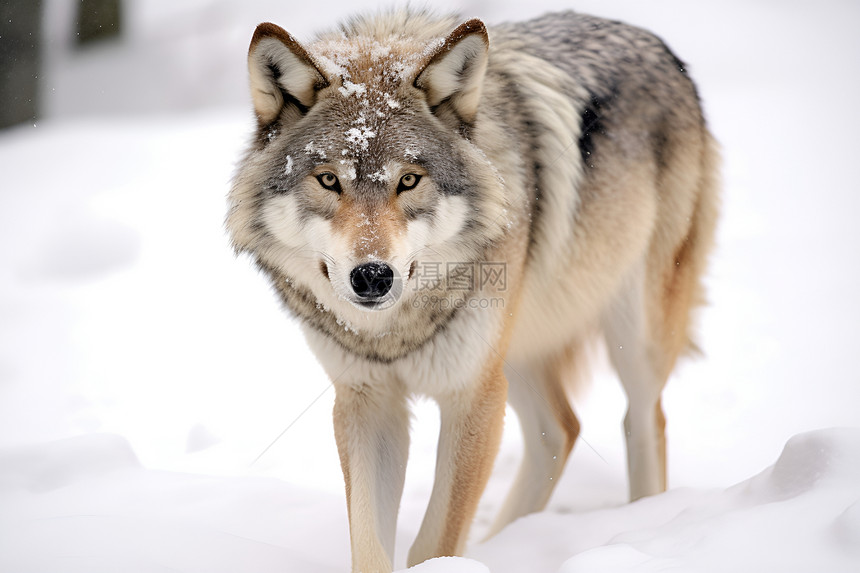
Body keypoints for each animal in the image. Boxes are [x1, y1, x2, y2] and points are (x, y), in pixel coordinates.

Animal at [227, 5, 720, 572]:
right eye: (329, 180)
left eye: (409, 181)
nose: (373, 275)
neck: (395, 331)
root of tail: (659, 46)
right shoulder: (366, 402)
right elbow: (371, 546)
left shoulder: (471, 395)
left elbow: (434, 541)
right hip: (517, 348)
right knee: (561, 430)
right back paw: (505, 546)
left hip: (628, 338)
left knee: (644, 421)